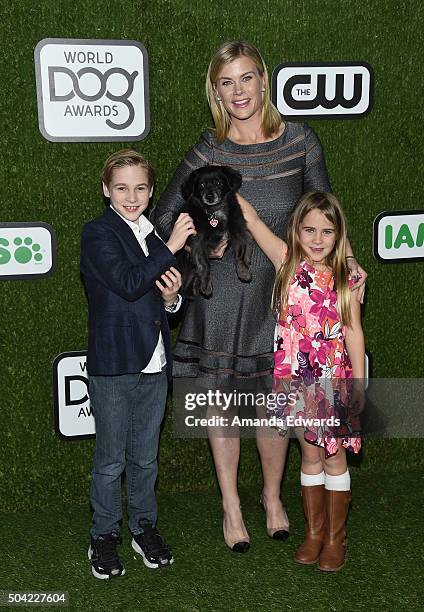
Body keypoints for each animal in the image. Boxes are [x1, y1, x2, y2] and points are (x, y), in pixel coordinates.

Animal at [176, 164, 250, 298]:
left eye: (218, 183)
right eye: (201, 185)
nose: (209, 196)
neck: (214, 212)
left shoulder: (239, 231)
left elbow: (241, 253)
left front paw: (243, 271)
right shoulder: (198, 241)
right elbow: (203, 263)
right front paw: (206, 285)